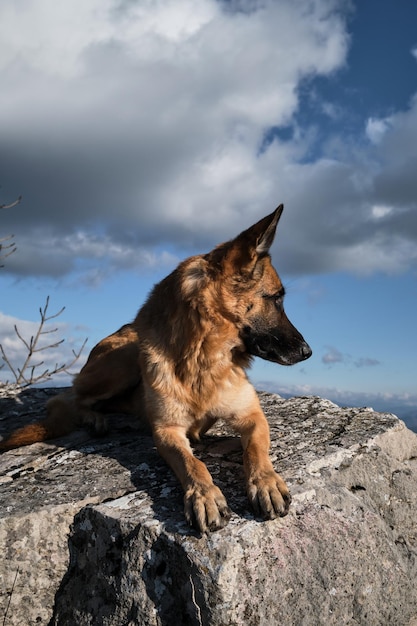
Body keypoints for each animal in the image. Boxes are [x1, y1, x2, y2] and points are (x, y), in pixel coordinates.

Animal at [1, 207, 310, 528]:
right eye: (276, 298)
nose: (308, 352)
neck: (204, 358)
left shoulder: (252, 417)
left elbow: (256, 451)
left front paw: (265, 482)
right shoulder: (167, 431)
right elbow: (192, 463)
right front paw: (205, 495)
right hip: (124, 359)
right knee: (69, 397)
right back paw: (93, 418)